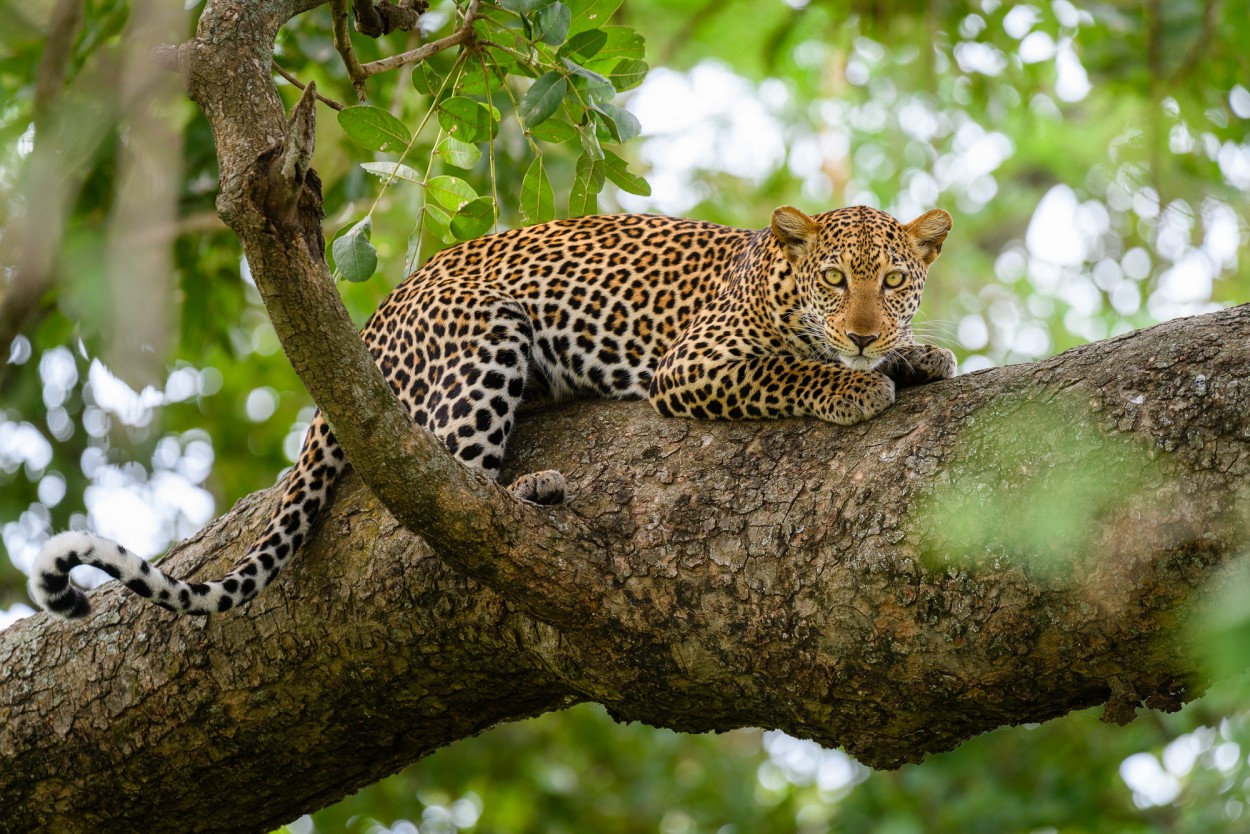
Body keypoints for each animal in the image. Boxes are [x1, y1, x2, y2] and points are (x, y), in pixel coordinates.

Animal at [31, 203, 955, 620]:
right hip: (482, 346)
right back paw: (529, 493)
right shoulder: (692, 366)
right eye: (834, 279)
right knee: (443, 500)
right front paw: (855, 383)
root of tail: (370, 323)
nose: (867, 334)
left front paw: (916, 357)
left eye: (893, 281)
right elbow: (787, 367)